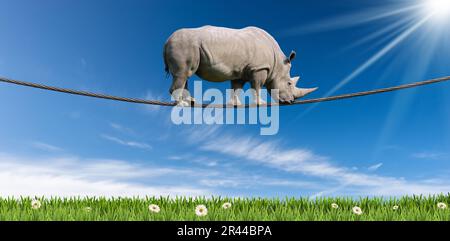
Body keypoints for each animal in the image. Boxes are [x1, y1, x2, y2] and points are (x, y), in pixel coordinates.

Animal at [164, 25, 316, 105]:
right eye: (289, 83)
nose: (290, 101)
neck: (277, 63)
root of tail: (166, 42)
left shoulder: (241, 72)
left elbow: (236, 88)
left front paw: (235, 105)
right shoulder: (259, 68)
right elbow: (257, 86)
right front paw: (260, 103)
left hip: (187, 46)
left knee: (186, 75)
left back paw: (190, 101)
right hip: (183, 45)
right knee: (183, 74)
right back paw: (182, 104)